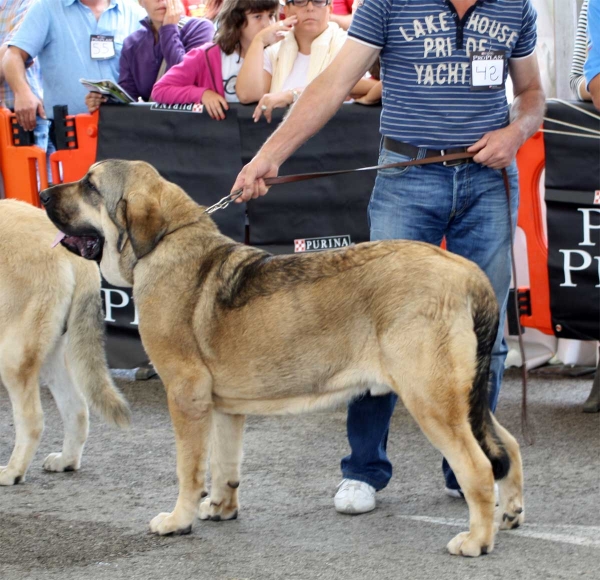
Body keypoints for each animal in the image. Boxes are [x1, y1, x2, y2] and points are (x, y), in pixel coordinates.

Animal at [0, 199, 131, 484]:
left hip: (13, 356)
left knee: (33, 420)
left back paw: (13, 472)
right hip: (50, 353)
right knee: (77, 409)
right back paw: (66, 461)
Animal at [39, 160, 524, 556]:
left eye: (90, 186)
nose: (42, 193)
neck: (163, 243)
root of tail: (466, 273)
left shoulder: (185, 395)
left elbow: (189, 469)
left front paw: (179, 520)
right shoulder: (224, 408)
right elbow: (224, 464)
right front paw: (221, 507)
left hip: (431, 399)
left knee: (478, 468)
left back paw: (477, 540)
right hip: (461, 398)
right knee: (508, 445)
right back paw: (510, 512)